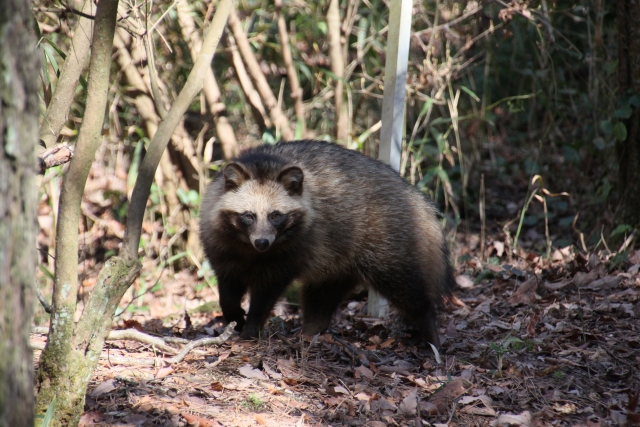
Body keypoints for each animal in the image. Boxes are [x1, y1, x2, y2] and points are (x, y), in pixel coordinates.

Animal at [200, 140, 456, 348]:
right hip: (337, 256)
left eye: (275, 216)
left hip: (386, 242)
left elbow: (267, 291)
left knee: (405, 287)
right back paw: (310, 331)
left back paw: (428, 327)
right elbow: (228, 288)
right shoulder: (221, 246)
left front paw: (251, 326)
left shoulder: (290, 250)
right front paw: (234, 316)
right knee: (321, 295)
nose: (262, 242)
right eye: (249, 216)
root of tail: (414, 195)